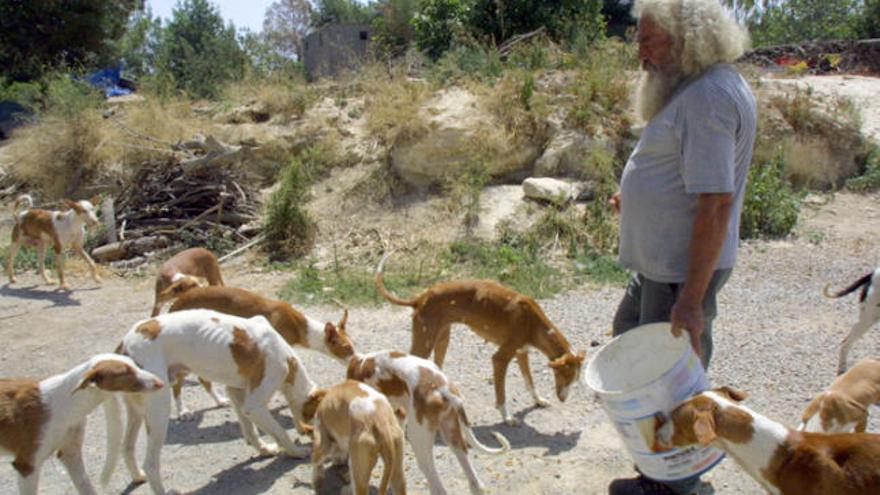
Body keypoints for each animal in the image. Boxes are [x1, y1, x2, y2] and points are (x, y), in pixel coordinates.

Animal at [0, 354, 163, 494]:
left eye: (136, 365)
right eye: (125, 372)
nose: (159, 382)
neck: (64, 403)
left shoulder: (70, 453)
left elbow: (86, 486)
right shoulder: (26, 465)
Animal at [111, 310, 322, 495]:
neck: (289, 363)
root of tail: (124, 346)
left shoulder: (236, 393)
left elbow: (250, 431)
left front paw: (264, 450)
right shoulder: (254, 406)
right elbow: (280, 432)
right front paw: (295, 451)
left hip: (136, 411)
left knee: (126, 448)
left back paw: (138, 476)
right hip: (159, 409)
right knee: (151, 464)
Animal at [372, 254, 584, 424]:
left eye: (575, 379)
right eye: (564, 376)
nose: (563, 399)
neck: (534, 322)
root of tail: (421, 297)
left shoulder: (522, 352)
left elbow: (529, 381)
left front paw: (538, 400)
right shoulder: (500, 359)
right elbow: (501, 394)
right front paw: (507, 417)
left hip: (442, 339)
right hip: (425, 342)